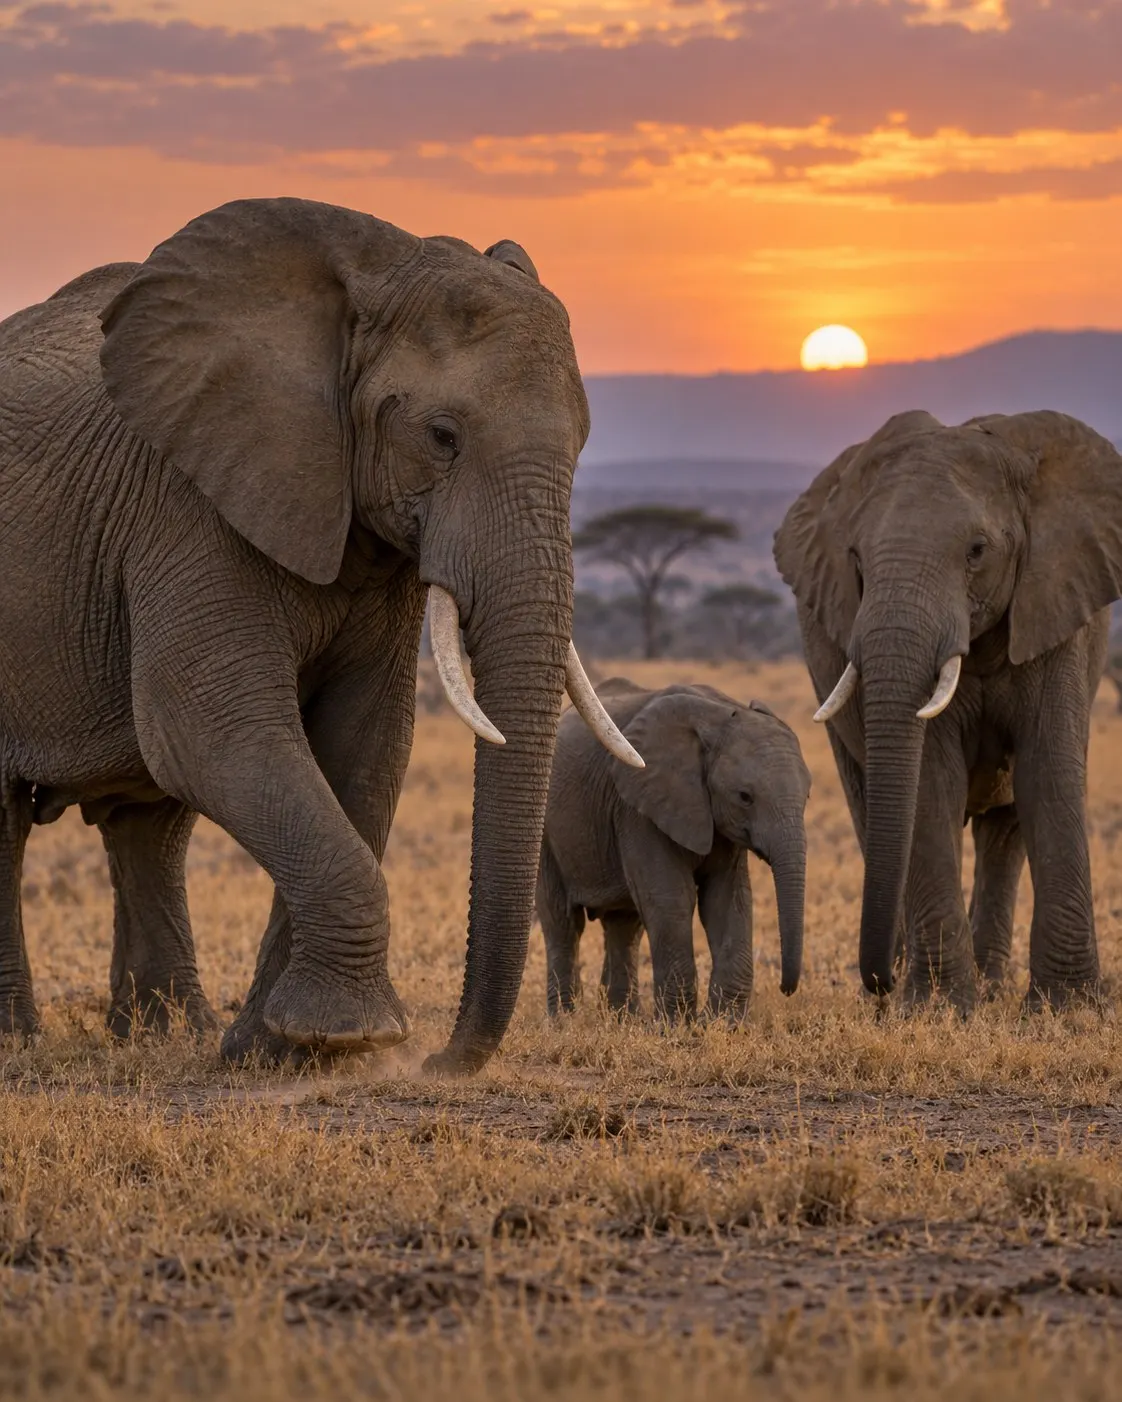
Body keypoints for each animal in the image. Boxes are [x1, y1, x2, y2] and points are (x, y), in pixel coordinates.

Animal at [0, 197, 642, 1072]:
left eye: (582, 440)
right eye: (442, 436)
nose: (440, 1063)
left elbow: (364, 745)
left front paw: (273, 1050)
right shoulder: (188, 506)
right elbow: (211, 733)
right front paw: (346, 1036)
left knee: (151, 830)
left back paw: (175, 1036)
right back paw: (20, 1042)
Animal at [537, 678, 810, 1019]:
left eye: (807, 796)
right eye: (745, 797)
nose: (787, 989)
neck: (717, 717)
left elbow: (727, 899)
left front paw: (722, 1024)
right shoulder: (638, 807)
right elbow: (671, 899)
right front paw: (678, 1025)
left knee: (624, 925)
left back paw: (621, 1020)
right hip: (547, 831)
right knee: (563, 922)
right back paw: (565, 1021)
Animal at [774, 408, 1122, 1013]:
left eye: (976, 551)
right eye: (856, 560)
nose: (879, 983)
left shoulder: (1055, 612)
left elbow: (1048, 772)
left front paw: (1068, 1009)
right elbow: (930, 784)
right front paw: (940, 1009)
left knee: (1003, 829)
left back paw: (990, 984)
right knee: (871, 806)